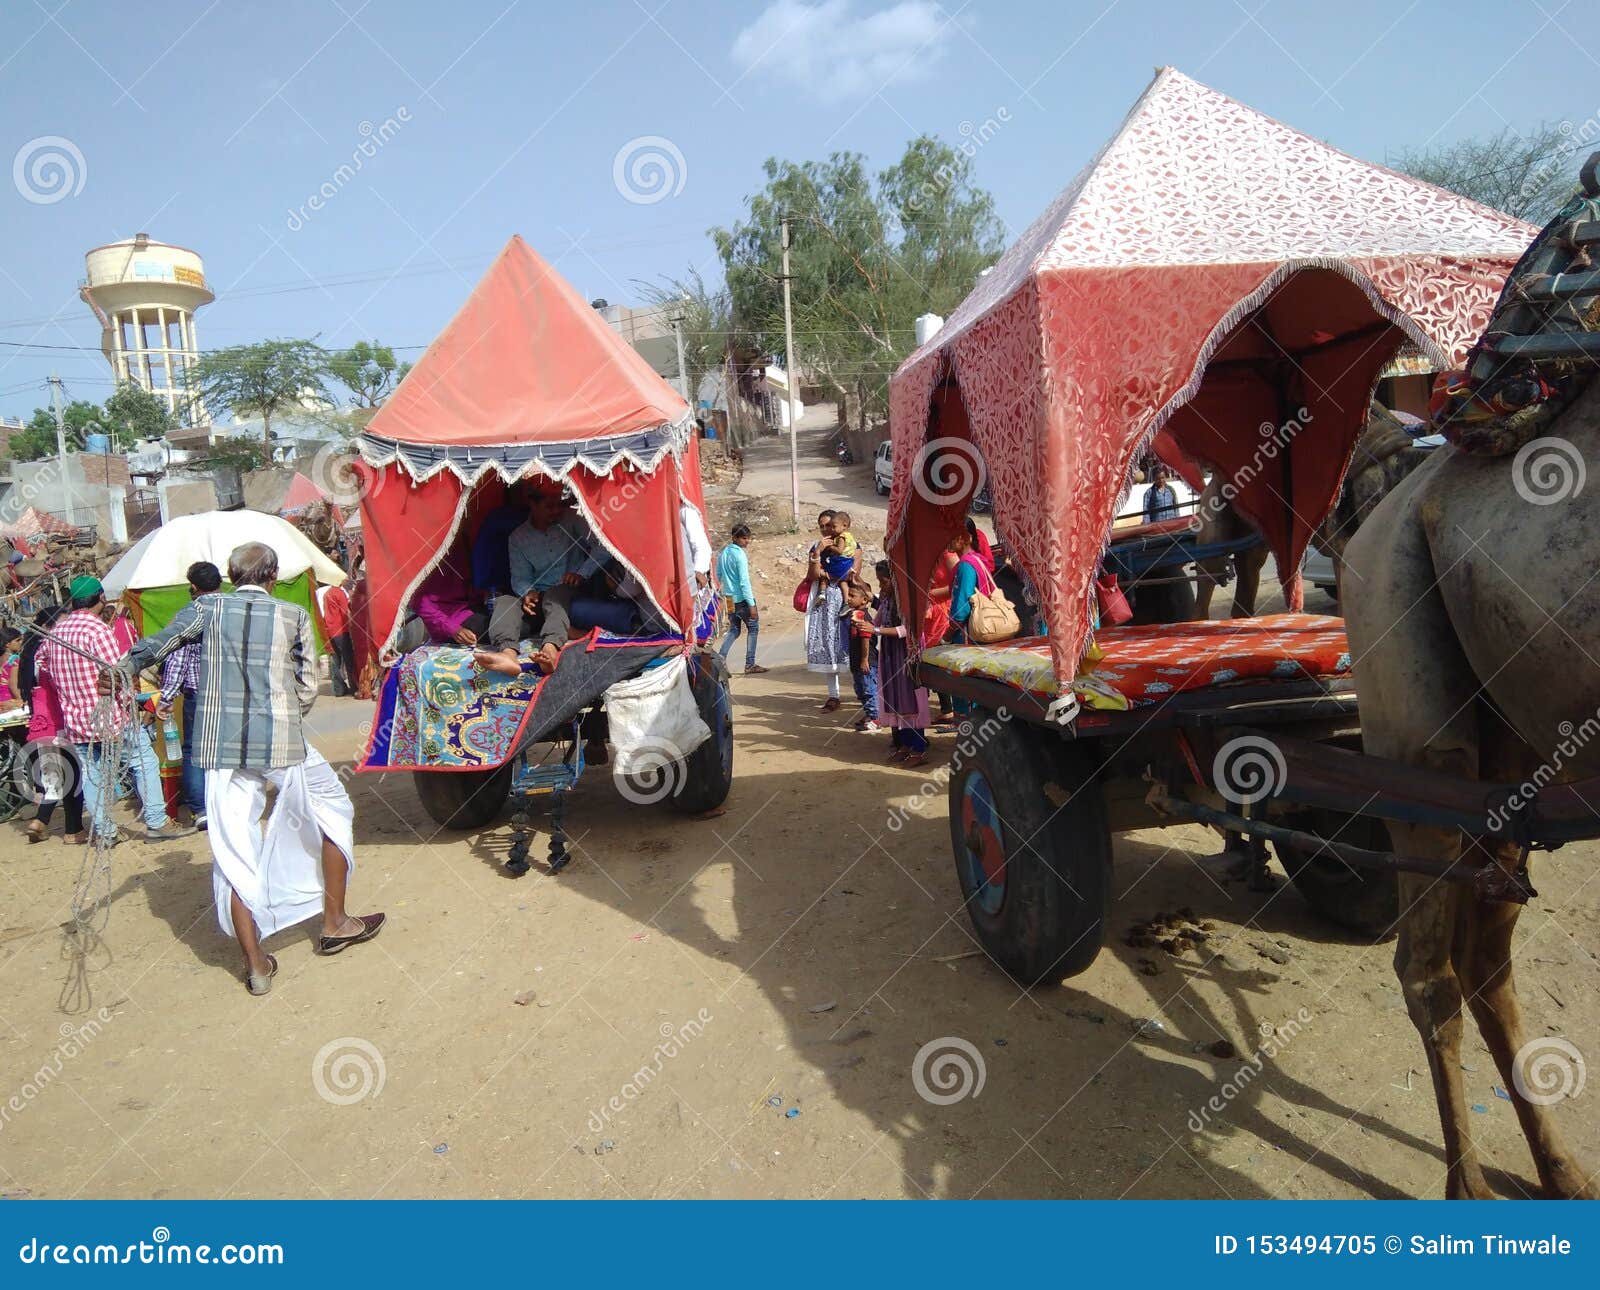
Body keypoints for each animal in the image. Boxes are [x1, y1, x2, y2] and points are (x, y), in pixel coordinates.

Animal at [1350, 366, 1600, 1203]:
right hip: (1411, 693)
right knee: (1432, 973)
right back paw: (1469, 1184)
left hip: (1515, 760)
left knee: (1485, 959)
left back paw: (1564, 1171)